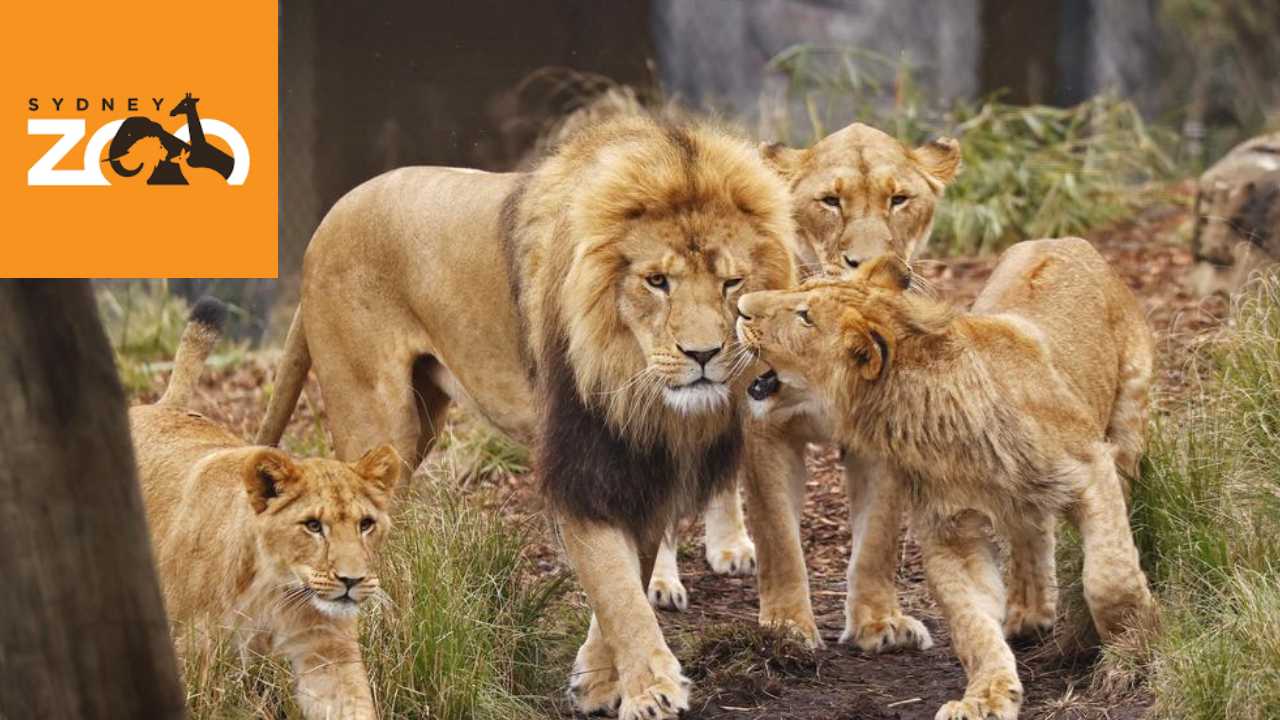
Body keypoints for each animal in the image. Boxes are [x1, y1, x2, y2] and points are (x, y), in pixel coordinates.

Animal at [130, 298, 401, 720]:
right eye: (313, 526)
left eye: (366, 524)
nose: (352, 580)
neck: (275, 589)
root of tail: (163, 406)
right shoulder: (195, 655)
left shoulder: (327, 654)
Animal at [736, 239, 1157, 719]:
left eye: (805, 315)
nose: (740, 306)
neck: (930, 416)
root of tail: (1063, 240)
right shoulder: (949, 531)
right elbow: (971, 624)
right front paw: (986, 696)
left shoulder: (1091, 468)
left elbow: (1109, 575)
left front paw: (1135, 643)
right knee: (1031, 529)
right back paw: (1029, 612)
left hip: (1128, 420)